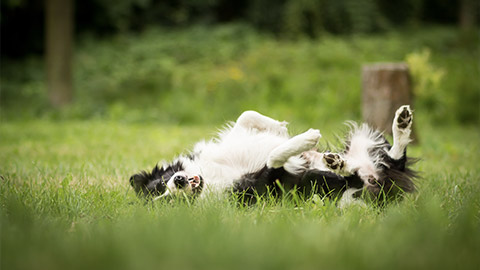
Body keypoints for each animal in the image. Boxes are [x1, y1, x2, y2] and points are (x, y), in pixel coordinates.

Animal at [128, 105, 416, 205]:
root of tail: (379, 181)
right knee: (356, 177)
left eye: (160, 184)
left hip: (363, 142)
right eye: (166, 199)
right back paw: (338, 165)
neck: (211, 177)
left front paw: (280, 128)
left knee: (394, 157)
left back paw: (401, 123)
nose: (177, 182)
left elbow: (246, 116)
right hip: (339, 190)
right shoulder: (268, 181)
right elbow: (275, 157)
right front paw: (306, 139)